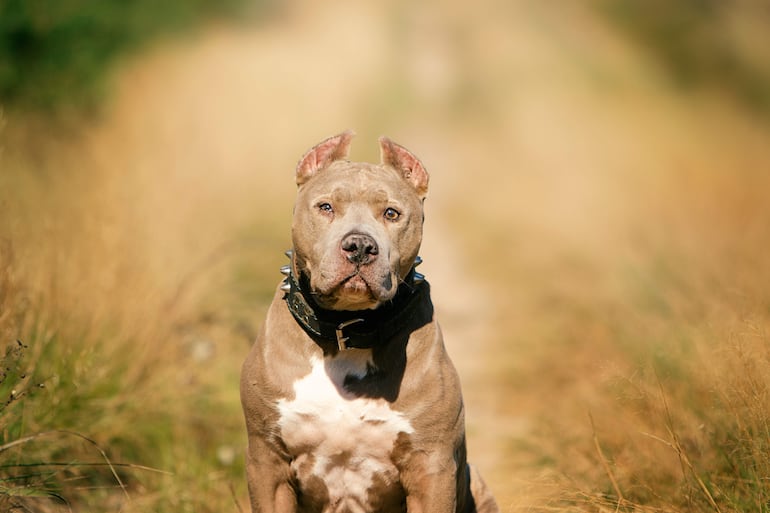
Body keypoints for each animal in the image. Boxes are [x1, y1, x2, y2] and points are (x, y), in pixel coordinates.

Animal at [240, 132, 498, 512]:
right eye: (326, 207)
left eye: (391, 213)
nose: (360, 246)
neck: (345, 332)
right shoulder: (267, 462)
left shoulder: (432, 468)